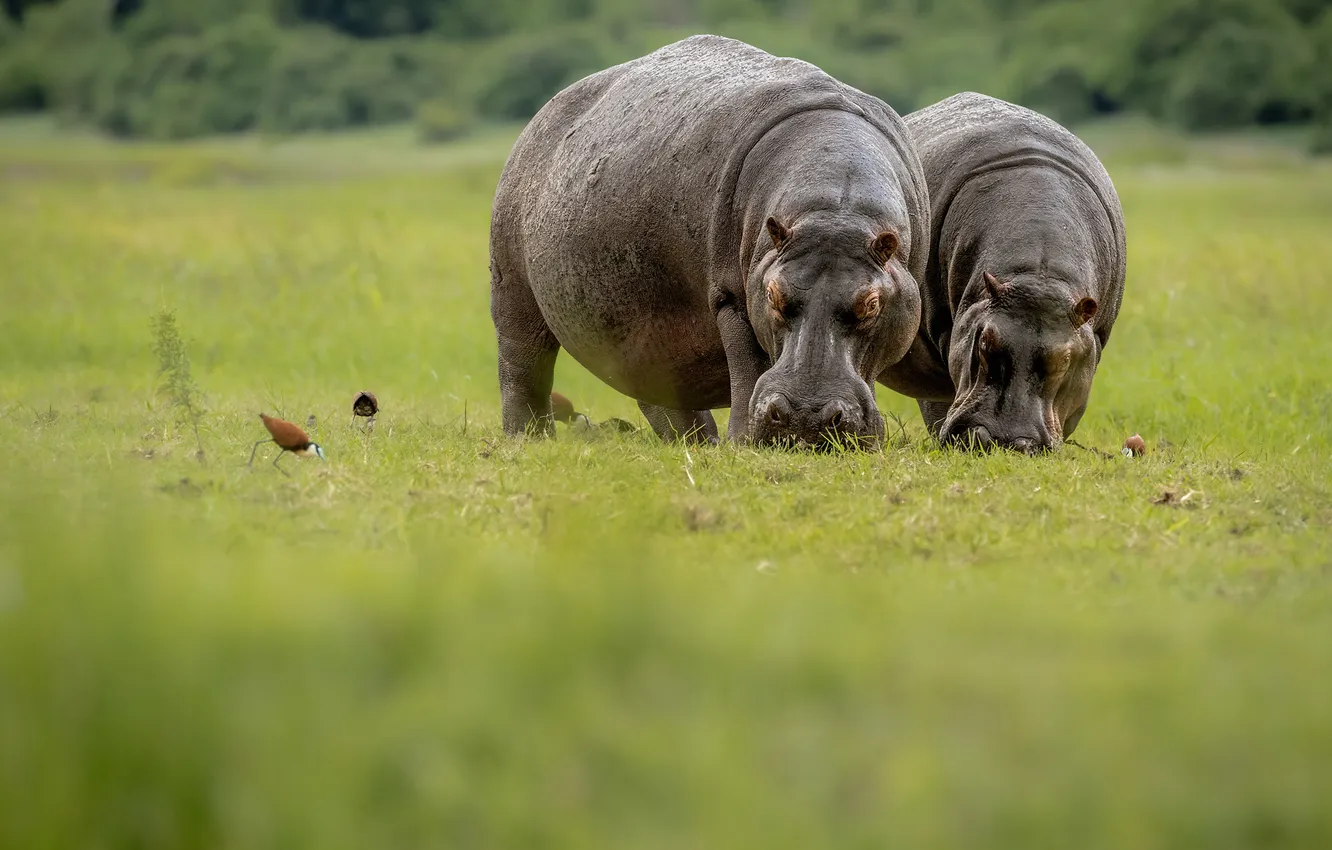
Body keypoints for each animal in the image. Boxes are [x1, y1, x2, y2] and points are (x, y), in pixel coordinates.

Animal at [489, 35, 930, 447]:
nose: (807, 418)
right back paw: (528, 439)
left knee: (660, 392)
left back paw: (698, 443)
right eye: (772, 295)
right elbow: (747, 367)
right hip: (512, 287)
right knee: (522, 365)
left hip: (644, 329)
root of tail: (544, 112)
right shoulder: (732, 297)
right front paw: (744, 442)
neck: (835, 210)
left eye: (872, 304)